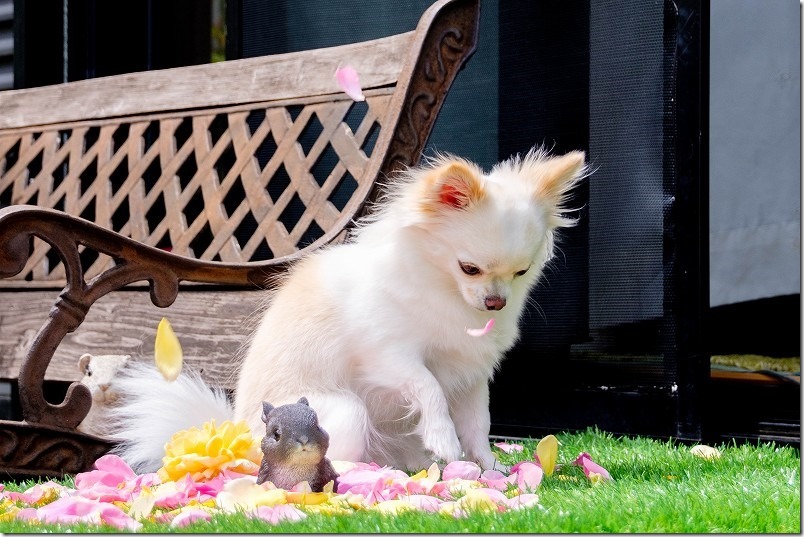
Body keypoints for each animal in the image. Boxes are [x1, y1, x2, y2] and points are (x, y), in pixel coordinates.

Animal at [111, 148, 584, 474]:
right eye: (469, 268)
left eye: (521, 272)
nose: (495, 302)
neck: (445, 292)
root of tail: (238, 437)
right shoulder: (390, 357)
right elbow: (428, 387)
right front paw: (443, 439)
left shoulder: (469, 375)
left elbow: (479, 423)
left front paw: (490, 469)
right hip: (340, 412)